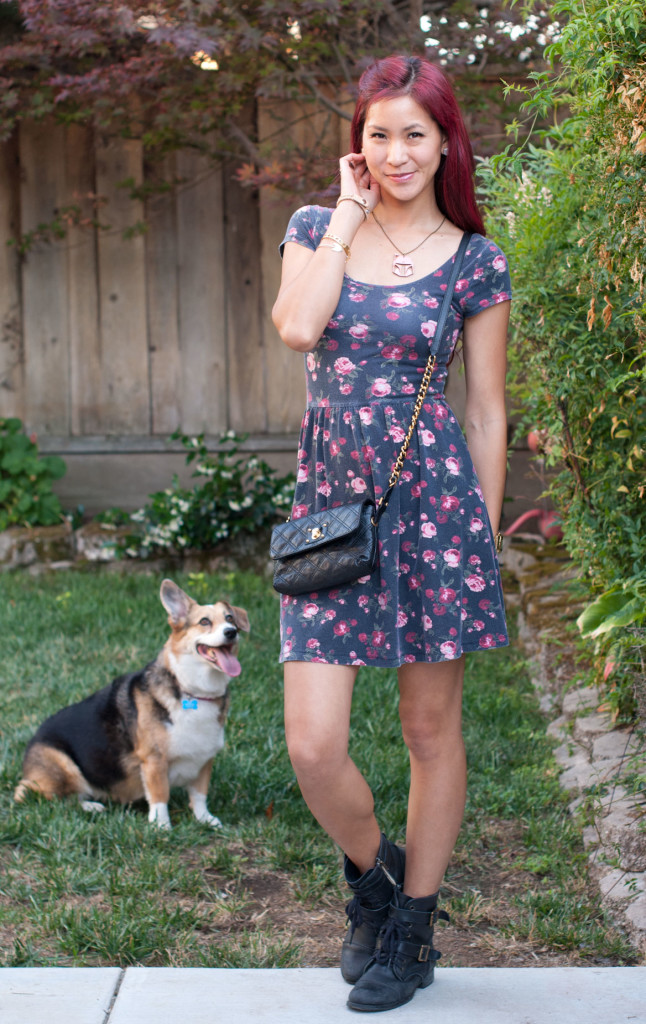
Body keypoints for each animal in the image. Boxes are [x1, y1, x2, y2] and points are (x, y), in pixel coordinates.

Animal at [13, 581, 249, 827]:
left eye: (230, 618)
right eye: (204, 621)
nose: (231, 632)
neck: (192, 690)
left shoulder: (204, 759)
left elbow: (199, 795)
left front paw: (206, 820)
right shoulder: (154, 760)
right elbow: (160, 796)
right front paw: (161, 826)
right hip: (63, 764)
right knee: (56, 797)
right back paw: (91, 806)